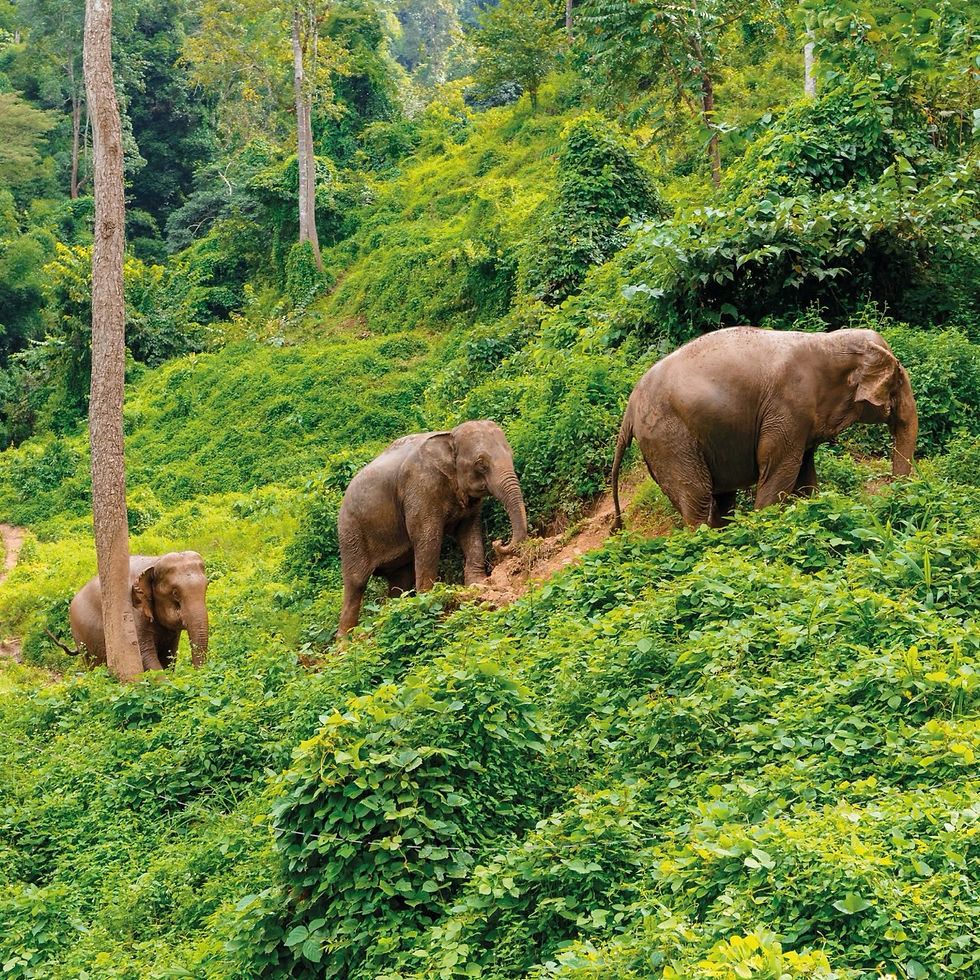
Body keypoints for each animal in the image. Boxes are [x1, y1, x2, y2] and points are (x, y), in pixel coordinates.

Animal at [62, 551, 209, 670]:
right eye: (175, 593)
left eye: (207, 585)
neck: (154, 562)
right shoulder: (132, 612)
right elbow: (145, 655)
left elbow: (169, 656)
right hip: (81, 638)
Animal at [337, 420, 529, 634]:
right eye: (481, 463)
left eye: (511, 455)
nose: (499, 542)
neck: (449, 436)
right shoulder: (420, 488)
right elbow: (428, 538)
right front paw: (428, 600)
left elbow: (469, 531)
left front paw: (478, 584)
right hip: (351, 533)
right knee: (356, 582)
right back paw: (345, 640)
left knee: (399, 578)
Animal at [611, 326, 919, 529]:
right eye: (898, 380)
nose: (891, 501)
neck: (828, 341)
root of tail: (629, 410)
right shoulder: (787, 407)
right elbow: (779, 469)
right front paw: (764, 523)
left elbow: (804, 474)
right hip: (668, 436)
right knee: (697, 497)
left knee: (721, 499)